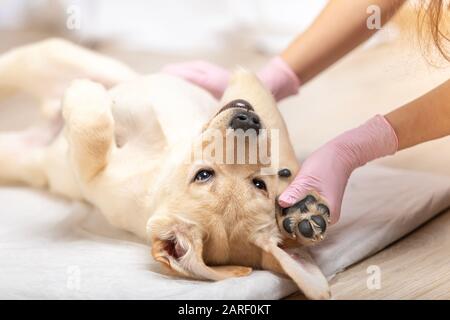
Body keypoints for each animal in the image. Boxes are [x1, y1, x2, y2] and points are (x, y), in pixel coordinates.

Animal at [0, 39, 330, 300]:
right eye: (203, 174)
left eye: (259, 184)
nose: (247, 121)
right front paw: (302, 212)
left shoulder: (94, 176)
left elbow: (92, 139)